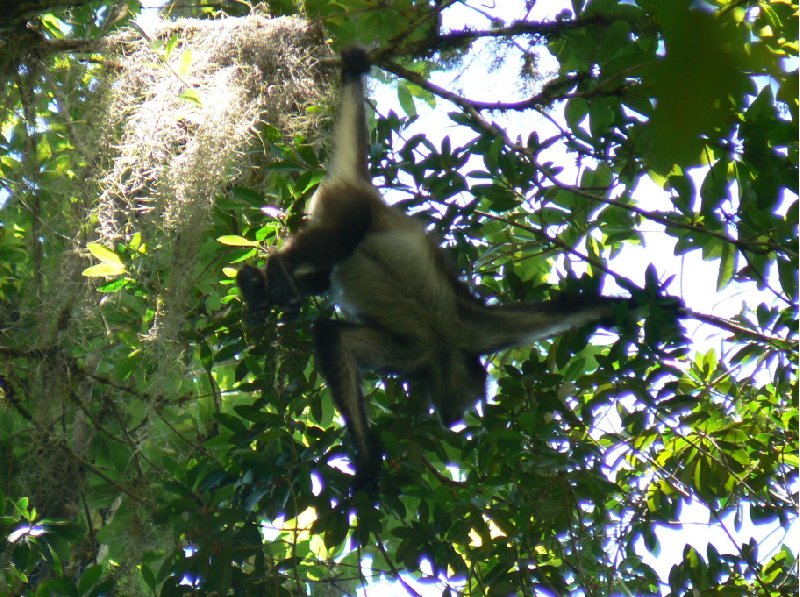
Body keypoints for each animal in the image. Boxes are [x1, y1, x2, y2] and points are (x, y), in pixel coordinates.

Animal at [238, 49, 632, 486]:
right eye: (471, 401)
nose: (454, 420)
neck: (443, 342)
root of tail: (368, 190)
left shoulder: (416, 353)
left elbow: (332, 336)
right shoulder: (477, 331)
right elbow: (555, 312)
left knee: (323, 275)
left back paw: (257, 284)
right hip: (350, 206)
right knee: (344, 236)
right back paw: (276, 270)